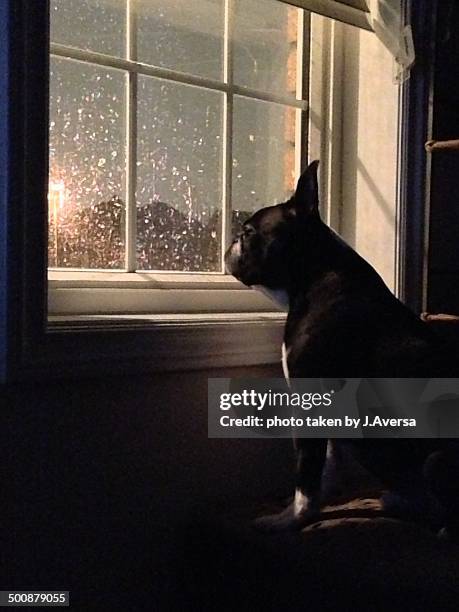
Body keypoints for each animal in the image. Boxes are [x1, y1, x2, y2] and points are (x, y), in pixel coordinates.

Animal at [226, 160, 459, 536]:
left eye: (249, 232)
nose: (233, 240)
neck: (315, 274)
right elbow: (327, 464)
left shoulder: (309, 399)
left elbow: (306, 470)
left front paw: (292, 518)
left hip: (437, 461)